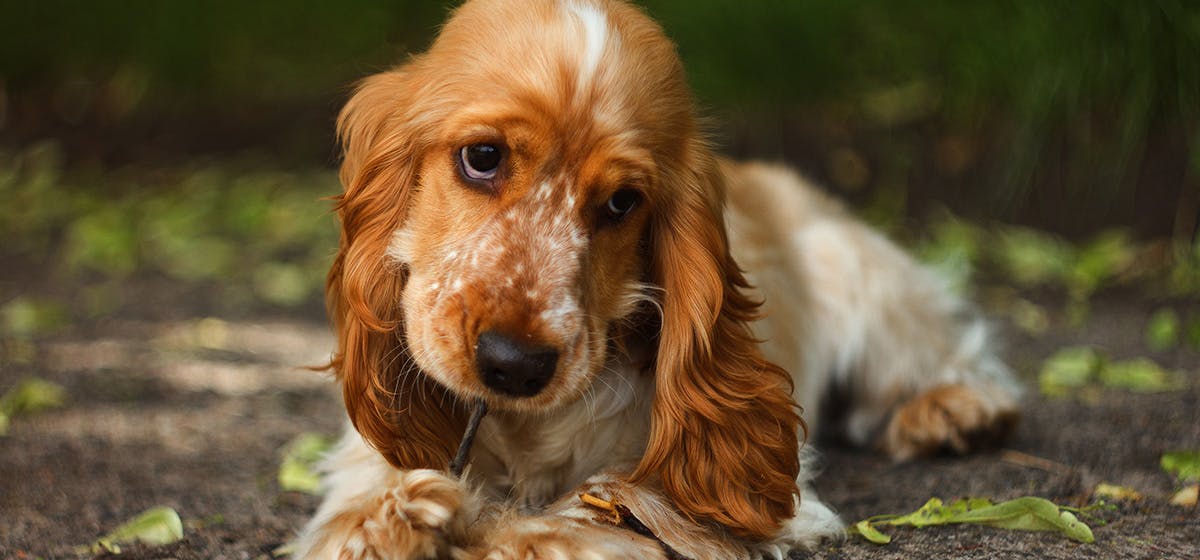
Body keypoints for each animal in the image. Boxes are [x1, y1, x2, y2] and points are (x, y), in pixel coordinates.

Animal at [295, 1, 1017, 560]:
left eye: (622, 202)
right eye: (482, 157)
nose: (515, 364)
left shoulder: (720, 494)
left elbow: (589, 511)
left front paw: (492, 529)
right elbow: (368, 501)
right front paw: (399, 516)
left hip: (861, 278)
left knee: (950, 355)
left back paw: (951, 411)